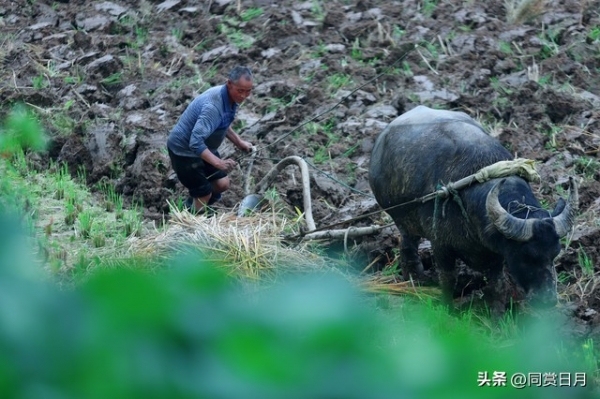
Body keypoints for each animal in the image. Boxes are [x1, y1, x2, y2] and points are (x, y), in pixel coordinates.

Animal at [368, 106, 580, 310]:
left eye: (555, 254)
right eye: (526, 256)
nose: (549, 300)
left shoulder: (496, 255)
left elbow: (497, 285)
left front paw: (496, 313)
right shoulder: (441, 247)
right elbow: (448, 280)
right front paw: (448, 309)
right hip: (401, 220)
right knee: (408, 245)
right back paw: (415, 278)